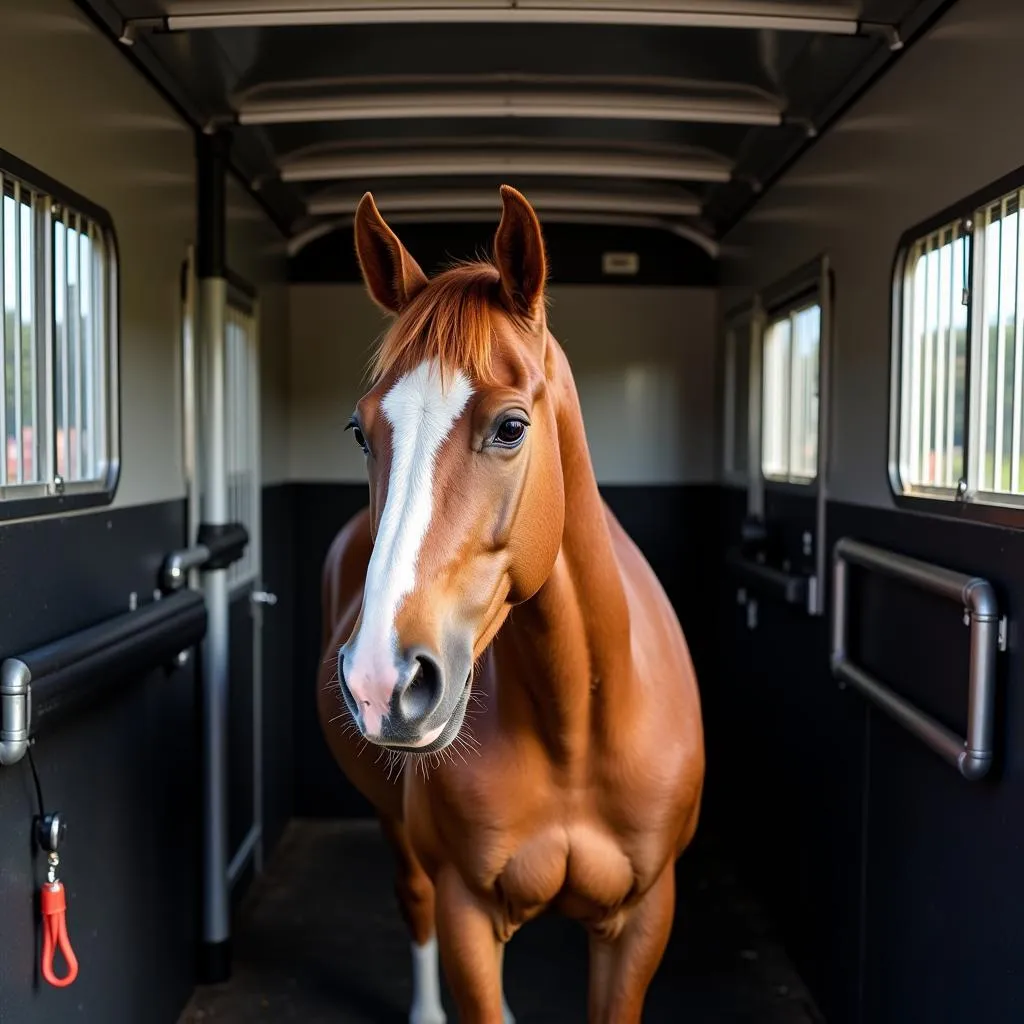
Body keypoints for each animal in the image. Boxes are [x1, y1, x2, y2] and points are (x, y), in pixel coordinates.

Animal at [319, 186, 704, 1024]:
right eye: (359, 432)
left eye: (511, 427)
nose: (382, 682)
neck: (575, 726)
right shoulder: (468, 913)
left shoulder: (644, 920)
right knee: (413, 898)